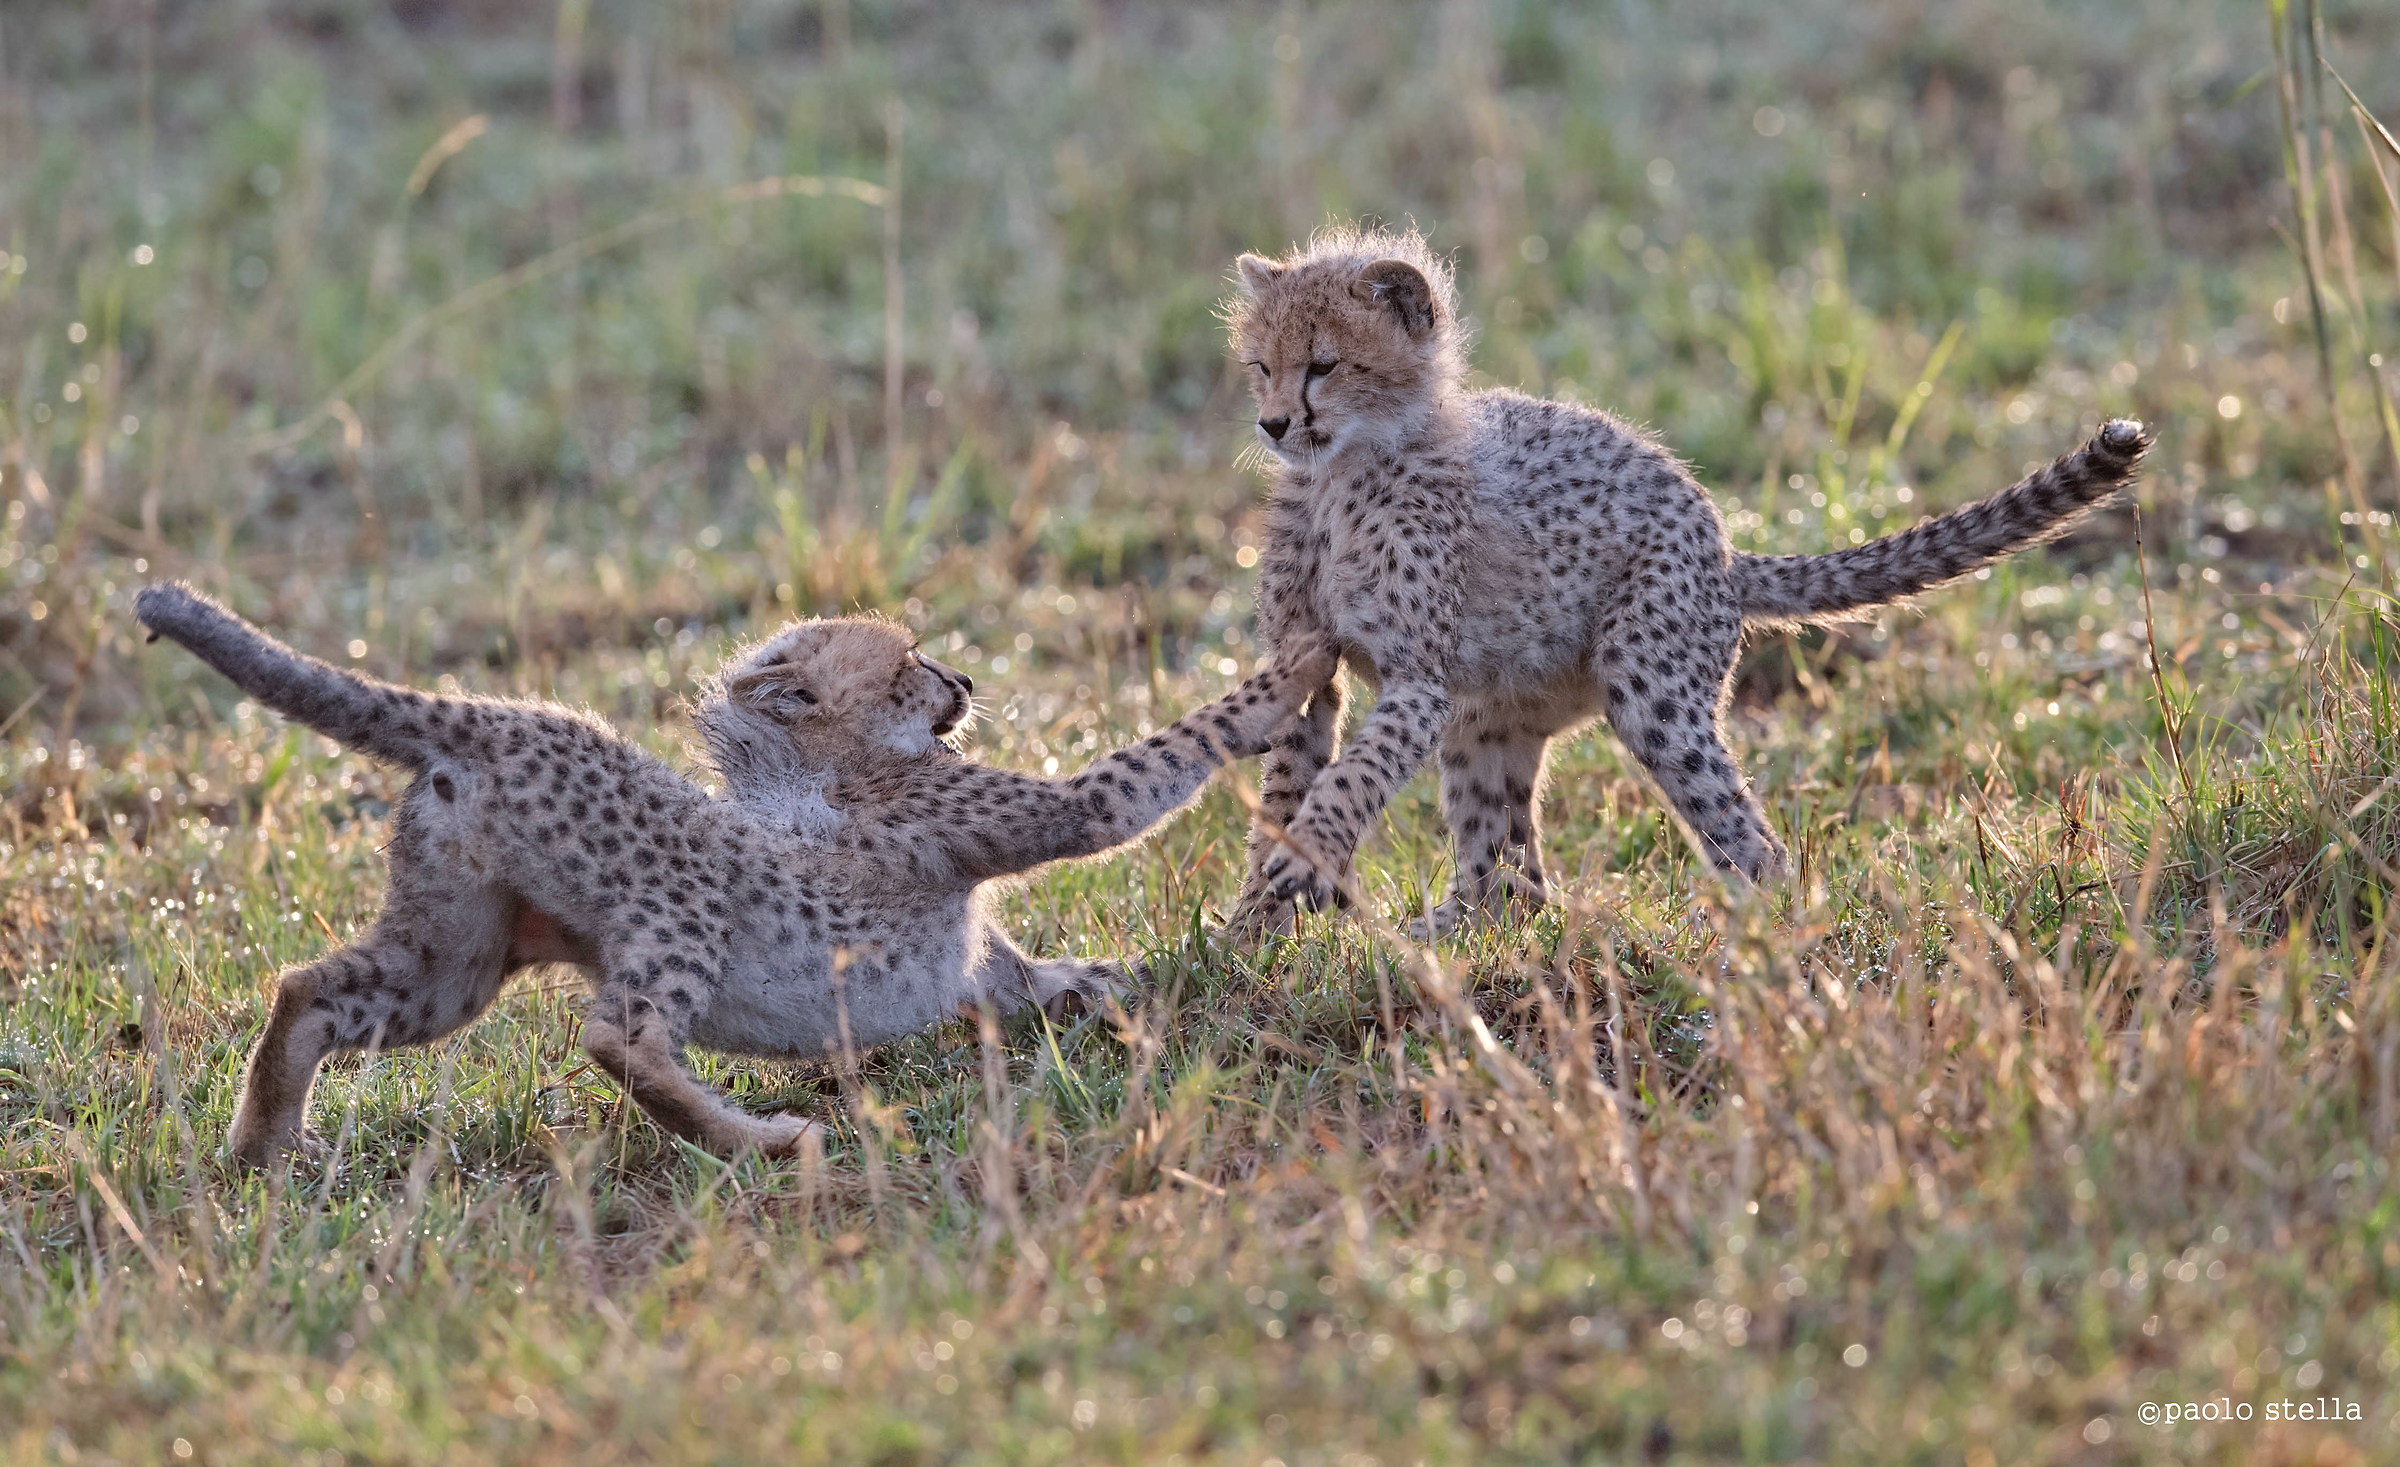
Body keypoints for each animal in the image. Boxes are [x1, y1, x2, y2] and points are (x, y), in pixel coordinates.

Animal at [134, 581, 1332, 1164]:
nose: (962, 678)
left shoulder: (976, 960)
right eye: (908, 664)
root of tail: (493, 717)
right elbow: (1159, 757)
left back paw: (264, 1147)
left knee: (306, 989)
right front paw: (1298, 664)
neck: (828, 761)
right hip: (680, 907)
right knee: (619, 1035)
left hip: (455, 955)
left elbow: (1040, 977)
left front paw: (1126, 985)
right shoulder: (1042, 814)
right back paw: (765, 1143)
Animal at [1216, 226, 2153, 940]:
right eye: (1261, 366)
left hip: (1649, 688)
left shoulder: (1416, 679)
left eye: (1325, 364)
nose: (1273, 423)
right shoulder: (1312, 666)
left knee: (1752, 843)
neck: (1347, 470)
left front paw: (1291, 876)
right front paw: (1251, 926)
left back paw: (1750, 942)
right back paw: (1454, 938)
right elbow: (1289, 783)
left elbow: (1347, 782)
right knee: (1511, 879)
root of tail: (1725, 551)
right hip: (1492, 718)